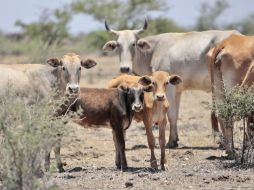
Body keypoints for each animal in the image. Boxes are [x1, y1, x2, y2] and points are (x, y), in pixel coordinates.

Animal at [101, 20, 240, 148]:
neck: (153, 50)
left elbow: (171, 115)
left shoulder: (170, 89)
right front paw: (176, 139)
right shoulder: (178, 90)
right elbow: (176, 114)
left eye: (133, 44)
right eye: (118, 45)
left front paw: (171, 142)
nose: (125, 68)